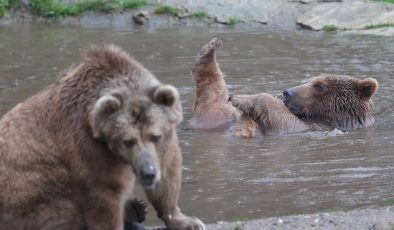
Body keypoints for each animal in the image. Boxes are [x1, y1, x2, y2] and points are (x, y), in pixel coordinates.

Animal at [0, 44, 206, 230]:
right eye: (128, 141)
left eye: (155, 136)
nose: (147, 173)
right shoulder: (86, 144)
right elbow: (104, 193)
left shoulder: (164, 143)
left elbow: (168, 172)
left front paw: (186, 221)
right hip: (32, 193)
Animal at [191, 37, 378, 137]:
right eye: (310, 80)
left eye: (318, 86)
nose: (287, 92)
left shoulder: (314, 127)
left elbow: (283, 119)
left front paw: (243, 98)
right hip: (223, 116)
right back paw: (210, 48)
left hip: (214, 114)